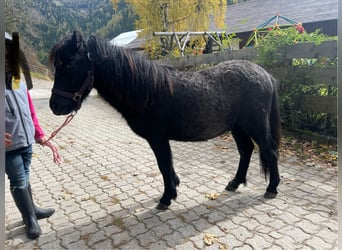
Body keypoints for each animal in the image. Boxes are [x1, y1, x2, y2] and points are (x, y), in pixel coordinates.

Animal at [49, 31, 282, 210]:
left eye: (68, 65)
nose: (55, 106)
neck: (146, 90)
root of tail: (266, 75)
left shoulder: (158, 138)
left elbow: (163, 165)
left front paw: (166, 198)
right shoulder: (160, 139)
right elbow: (168, 166)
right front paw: (174, 187)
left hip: (256, 126)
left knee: (269, 151)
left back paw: (271, 189)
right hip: (238, 127)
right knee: (246, 151)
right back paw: (234, 183)